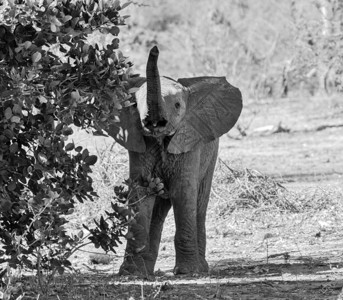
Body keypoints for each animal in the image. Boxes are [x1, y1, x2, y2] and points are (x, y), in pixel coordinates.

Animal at [106, 45, 243, 276]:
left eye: (178, 105)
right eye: (134, 106)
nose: (155, 48)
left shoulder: (189, 142)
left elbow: (183, 191)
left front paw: (188, 272)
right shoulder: (138, 142)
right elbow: (140, 192)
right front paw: (131, 273)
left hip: (210, 156)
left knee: (199, 202)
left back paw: (201, 268)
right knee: (158, 211)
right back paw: (148, 271)